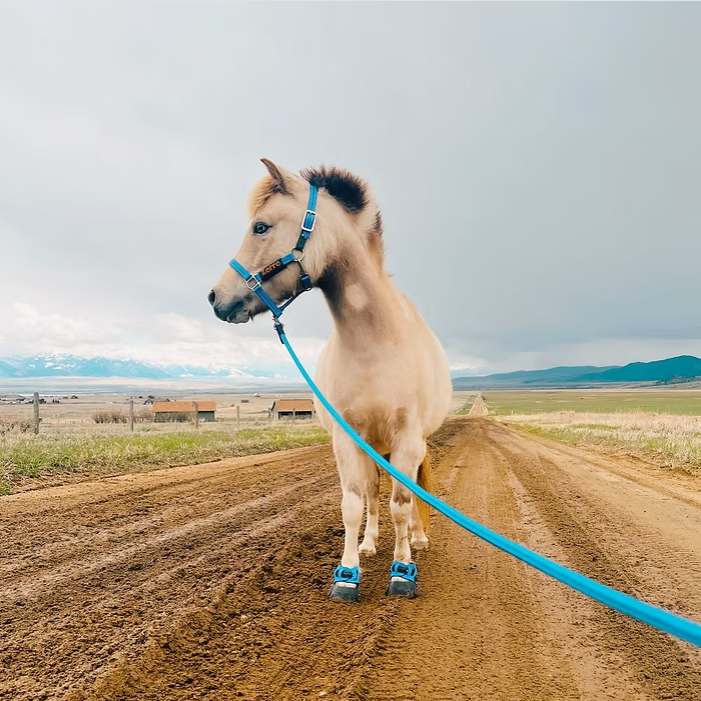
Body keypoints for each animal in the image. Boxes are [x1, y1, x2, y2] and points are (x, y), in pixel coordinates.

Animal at [209, 159, 452, 600]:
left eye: (261, 227)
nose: (216, 297)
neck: (375, 345)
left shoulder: (408, 439)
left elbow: (402, 504)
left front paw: (403, 570)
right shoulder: (346, 438)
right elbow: (354, 504)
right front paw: (349, 572)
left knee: (409, 497)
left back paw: (417, 539)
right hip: (372, 446)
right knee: (372, 493)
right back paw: (371, 543)